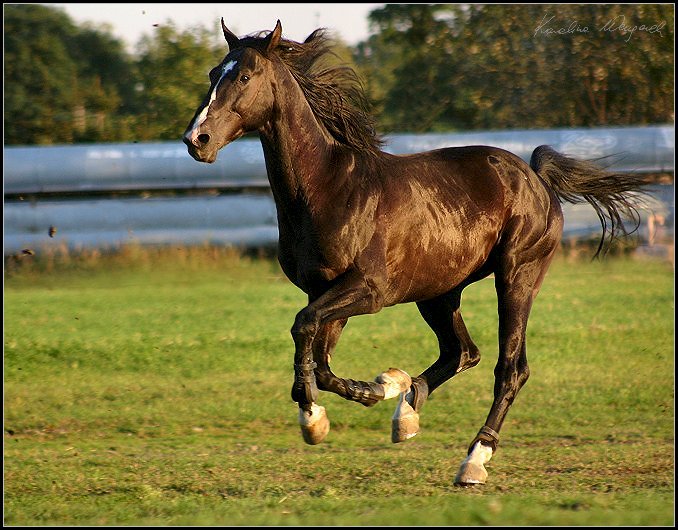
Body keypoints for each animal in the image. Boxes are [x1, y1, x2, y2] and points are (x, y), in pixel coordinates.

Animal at [183, 19, 652, 482]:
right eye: (213, 73)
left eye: (244, 76)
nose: (196, 139)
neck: (328, 188)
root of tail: (535, 176)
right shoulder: (322, 290)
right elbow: (319, 356)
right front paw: (360, 396)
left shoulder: (368, 289)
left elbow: (305, 329)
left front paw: (322, 413)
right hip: (438, 293)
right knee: (462, 352)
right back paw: (406, 408)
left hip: (517, 277)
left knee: (510, 368)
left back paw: (474, 459)